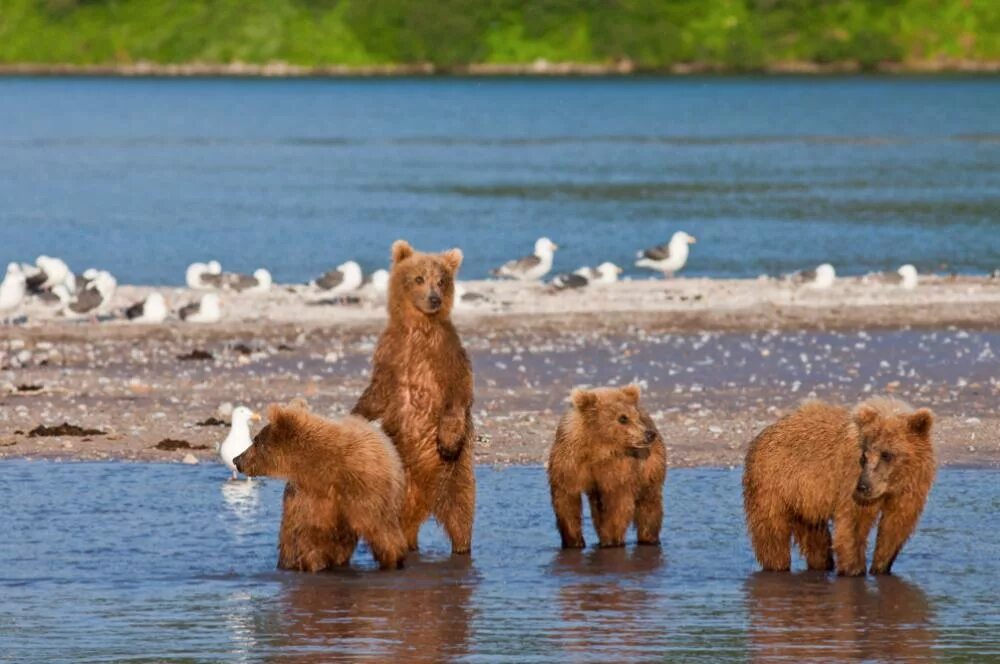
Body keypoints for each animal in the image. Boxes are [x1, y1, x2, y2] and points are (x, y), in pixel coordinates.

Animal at [232, 402, 408, 572]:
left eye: (256, 440)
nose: (237, 459)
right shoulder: (312, 496)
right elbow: (311, 535)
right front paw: (315, 563)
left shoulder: (363, 488)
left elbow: (381, 530)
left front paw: (392, 559)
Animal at [352, 239, 476, 556]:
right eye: (419, 278)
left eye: (441, 280)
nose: (434, 298)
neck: (419, 328)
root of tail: (426, 500)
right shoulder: (392, 353)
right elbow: (377, 392)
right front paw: (356, 413)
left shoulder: (445, 354)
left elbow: (458, 390)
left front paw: (447, 440)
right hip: (398, 479)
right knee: (399, 521)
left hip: (454, 474)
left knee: (460, 512)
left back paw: (461, 547)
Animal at [548, 384, 664, 548]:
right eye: (623, 418)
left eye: (636, 416)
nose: (649, 434)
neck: (598, 448)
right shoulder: (569, 462)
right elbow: (566, 500)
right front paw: (573, 541)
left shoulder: (618, 468)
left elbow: (618, 503)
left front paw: (610, 540)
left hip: (650, 466)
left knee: (649, 500)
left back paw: (648, 537)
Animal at [744, 400, 936, 576]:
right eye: (865, 455)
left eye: (887, 454)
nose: (863, 487)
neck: (892, 484)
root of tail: (762, 434)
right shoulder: (851, 479)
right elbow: (853, 524)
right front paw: (854, 570)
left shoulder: (910, 488)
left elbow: (896, 526)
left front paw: (880, 568)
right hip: (771, 483)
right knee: (772, 535)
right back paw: (777, 565)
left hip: (805, 500)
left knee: (816, 540)